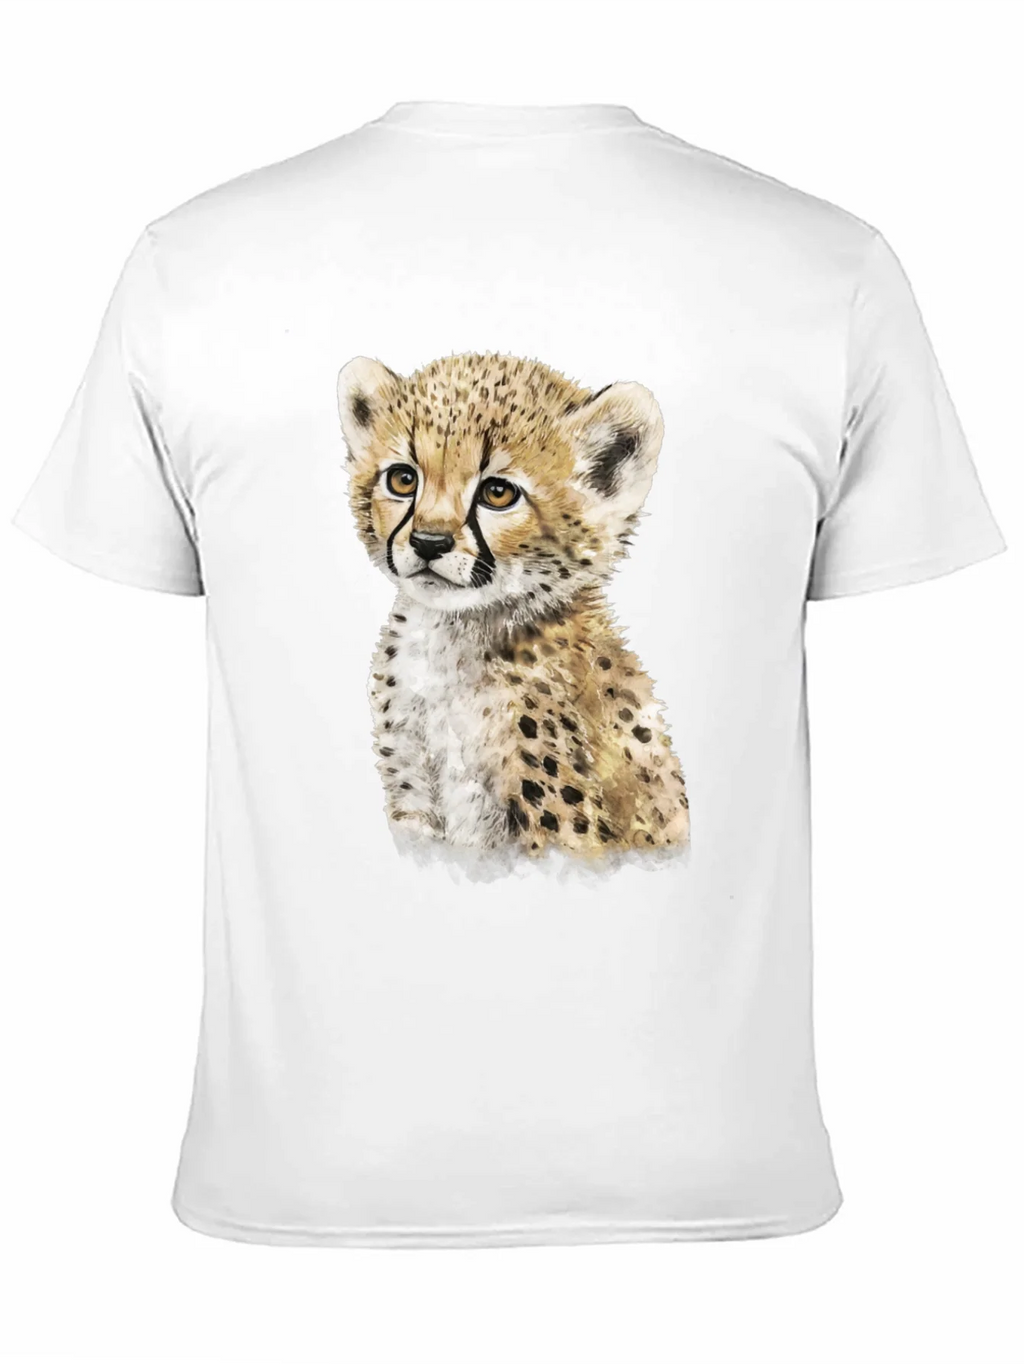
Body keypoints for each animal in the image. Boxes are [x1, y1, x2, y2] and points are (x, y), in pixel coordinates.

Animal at [337, 351, 689, 868]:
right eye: (403, 479)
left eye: (497, 493)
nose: (428, 542)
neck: (450, 637)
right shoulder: (414, 797)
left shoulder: (557, 831)